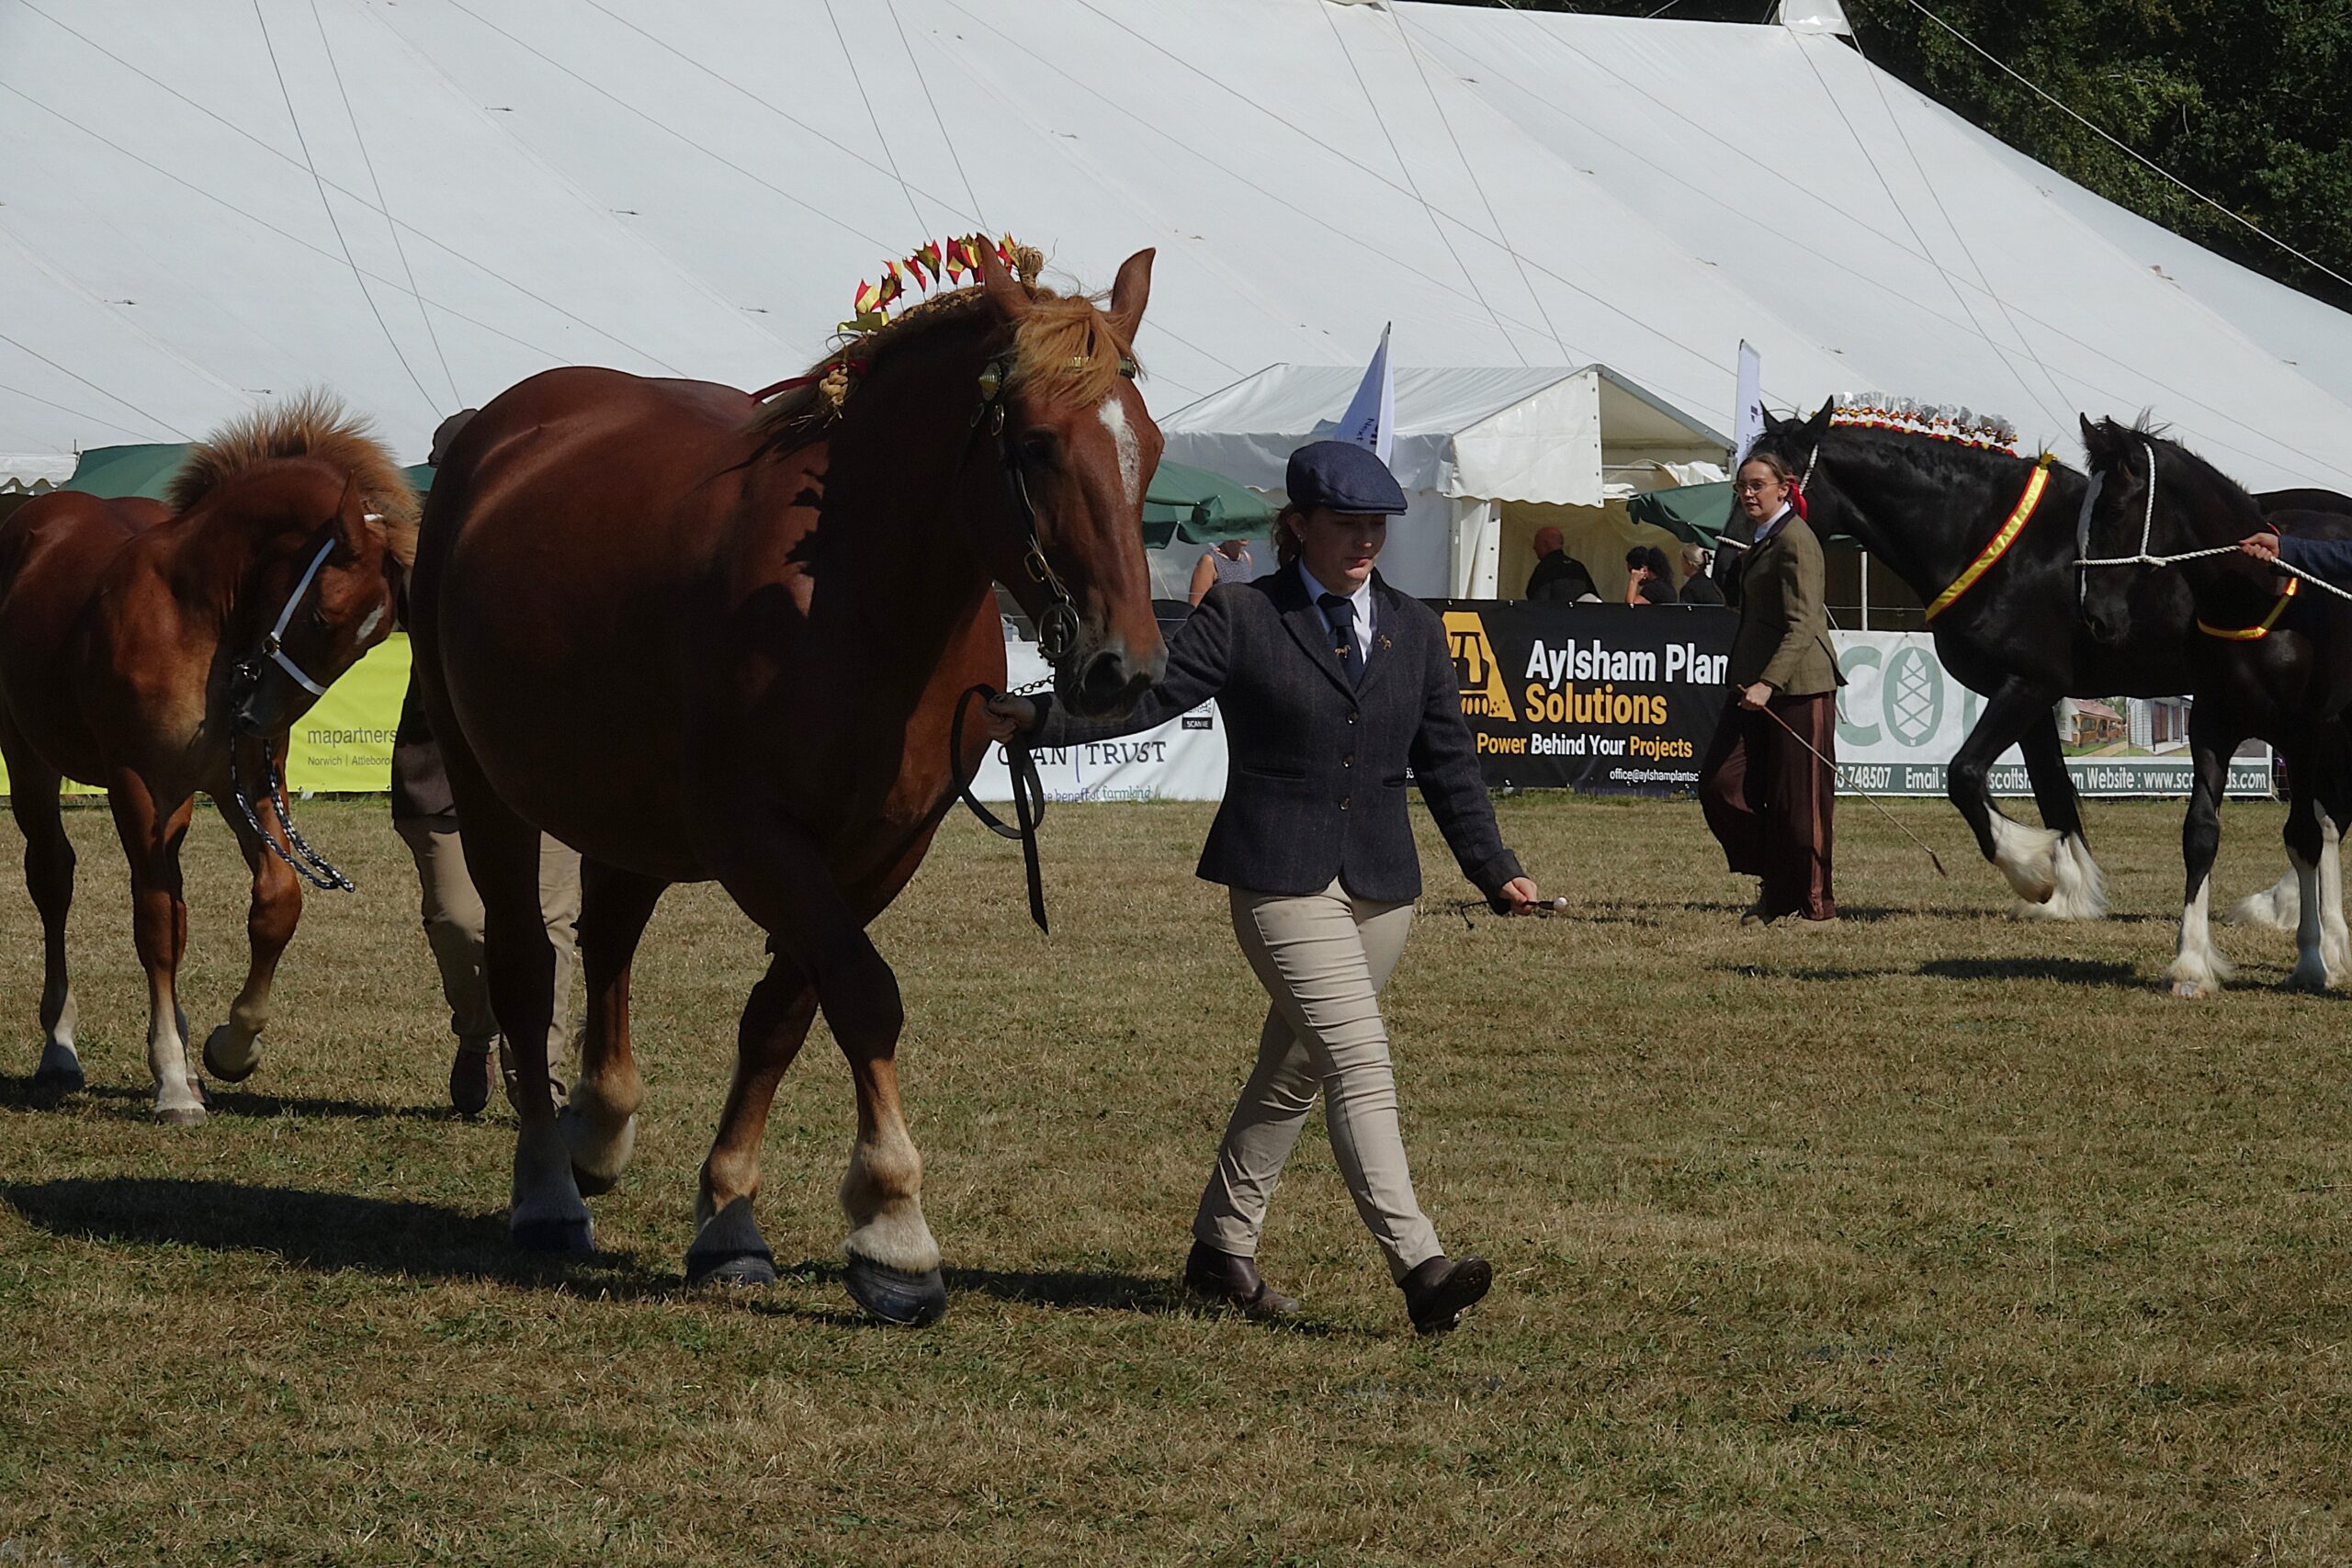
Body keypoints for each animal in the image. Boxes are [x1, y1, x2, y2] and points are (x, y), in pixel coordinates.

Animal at [0, 393, 414, 1121]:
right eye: (321, 618)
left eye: (372, 641)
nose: (257, 719)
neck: (198, 620)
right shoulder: (140, 788)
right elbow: (156, 924)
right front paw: (171, 1079)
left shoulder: (242, 783)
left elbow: (276, 903)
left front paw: (230, 1047)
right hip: (28, 761)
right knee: (54, 879)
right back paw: (60, 1048)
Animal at [410, 242, 1166, 1324]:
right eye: (1035, 445)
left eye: (1150, 446)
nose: (1126, 666)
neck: (852, 602)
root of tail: (499, 430)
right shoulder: (753, 835)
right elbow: (861, 992)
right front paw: (895, 1228)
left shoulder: (882, 850)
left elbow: (783, 1015)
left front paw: (729, 1212)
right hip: (487, 785)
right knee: (522, 963)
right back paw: (549, 1187)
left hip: (626, 806)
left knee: (610, 938)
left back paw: (601, 1121)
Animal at [1743, 401, 2352, 920]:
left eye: (1768, 486)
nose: (1733, 566)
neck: (2000, 543)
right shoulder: (2031, 700)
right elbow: (2055, 795)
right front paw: (2070, 893)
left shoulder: (2028, 685)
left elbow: (1964, 776)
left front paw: (2030, 872)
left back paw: (2283, 908)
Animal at [2076, 415, 2352, 997]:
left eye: (2113, 511)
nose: (2095, 619)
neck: (2250, 595)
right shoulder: (2212, 726)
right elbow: (2200, 834)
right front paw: (2191, 965)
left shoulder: (2302, 735)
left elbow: (2302, 838)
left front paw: (2310, 961)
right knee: (2335, 820)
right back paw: (2339, 944)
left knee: (2329, 823)